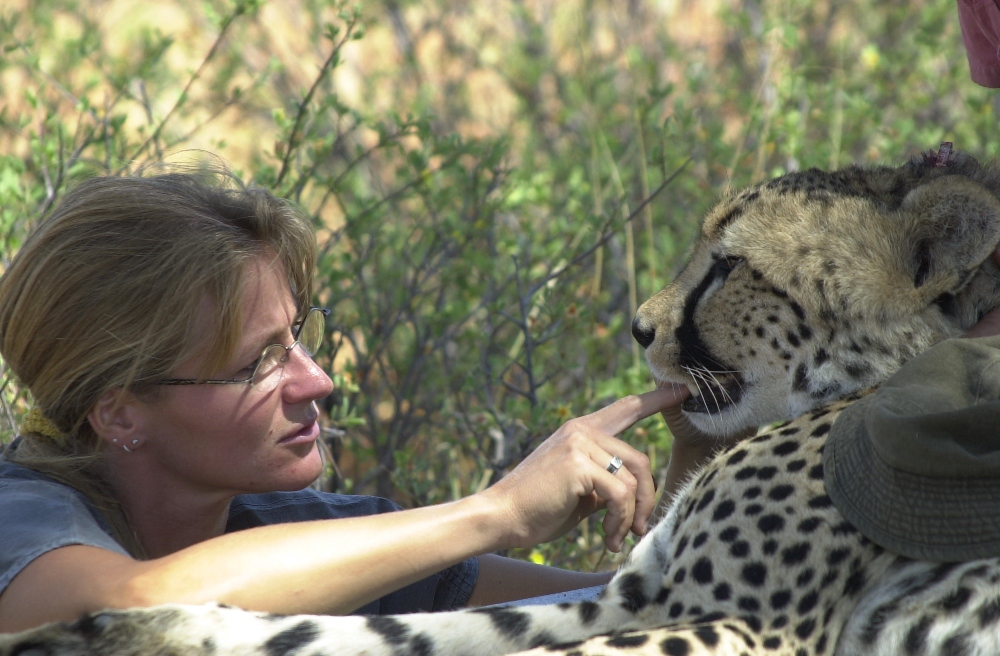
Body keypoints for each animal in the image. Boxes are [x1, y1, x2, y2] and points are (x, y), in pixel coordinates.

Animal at [5, 149, 1000, 656]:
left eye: (730, 269)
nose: (639, 329)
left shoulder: (749, 627)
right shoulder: (633, 594)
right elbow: (392, 626)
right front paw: (120, 626)